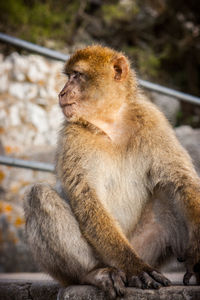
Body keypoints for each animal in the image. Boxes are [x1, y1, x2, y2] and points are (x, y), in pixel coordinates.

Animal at [23, 44, 200, 298]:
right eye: (69, 76)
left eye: (77, 75)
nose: (62, 93)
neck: (110, 121)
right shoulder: (72, 135)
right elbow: (87, 198)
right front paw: (135, 268)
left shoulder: (153, 120)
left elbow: (181, 180)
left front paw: (198, 254)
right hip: (103, 255)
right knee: (38, 196)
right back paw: (95, 273)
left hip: (146, 247)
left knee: (168, 193)